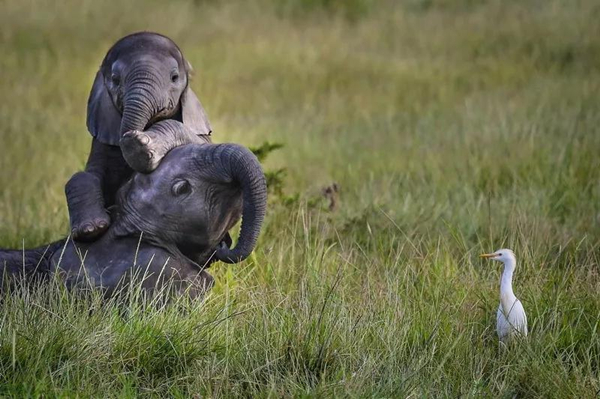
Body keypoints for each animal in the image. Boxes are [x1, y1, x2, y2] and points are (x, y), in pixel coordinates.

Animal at [65, 32, 211, 241]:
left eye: (174, 77)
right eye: (115, 79)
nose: (131, 137)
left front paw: (141, 146)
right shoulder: (101, 141)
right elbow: (85, 175)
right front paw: (91, 230)